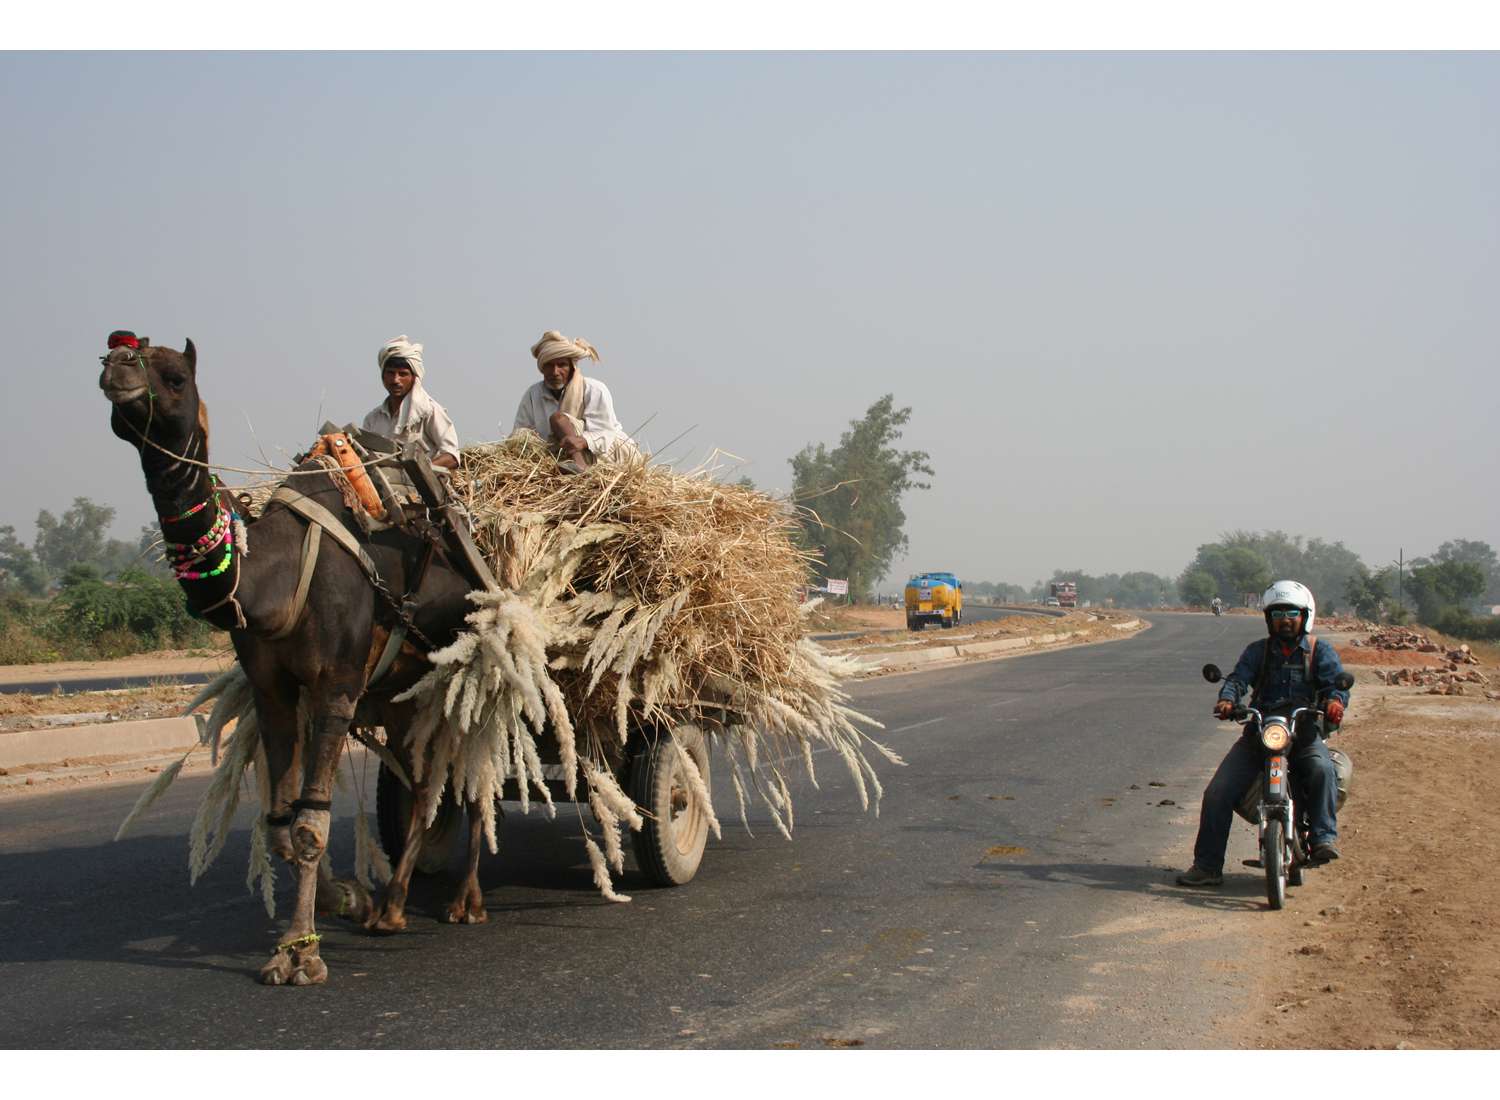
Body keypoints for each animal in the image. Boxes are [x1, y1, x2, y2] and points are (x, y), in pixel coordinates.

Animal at [101, 336, 498, 984]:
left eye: (175, 375)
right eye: (113, 352)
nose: (118, 369)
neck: (272, 575)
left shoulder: (336, 682)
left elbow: (311, 825)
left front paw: (301, 952)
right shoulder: (274, 689)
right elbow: (281, 825)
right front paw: (345, 901)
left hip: (464, 678)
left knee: (472, 774)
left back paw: (467, 900)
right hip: (402, 697)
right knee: (425, 785)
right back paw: (390, 909)